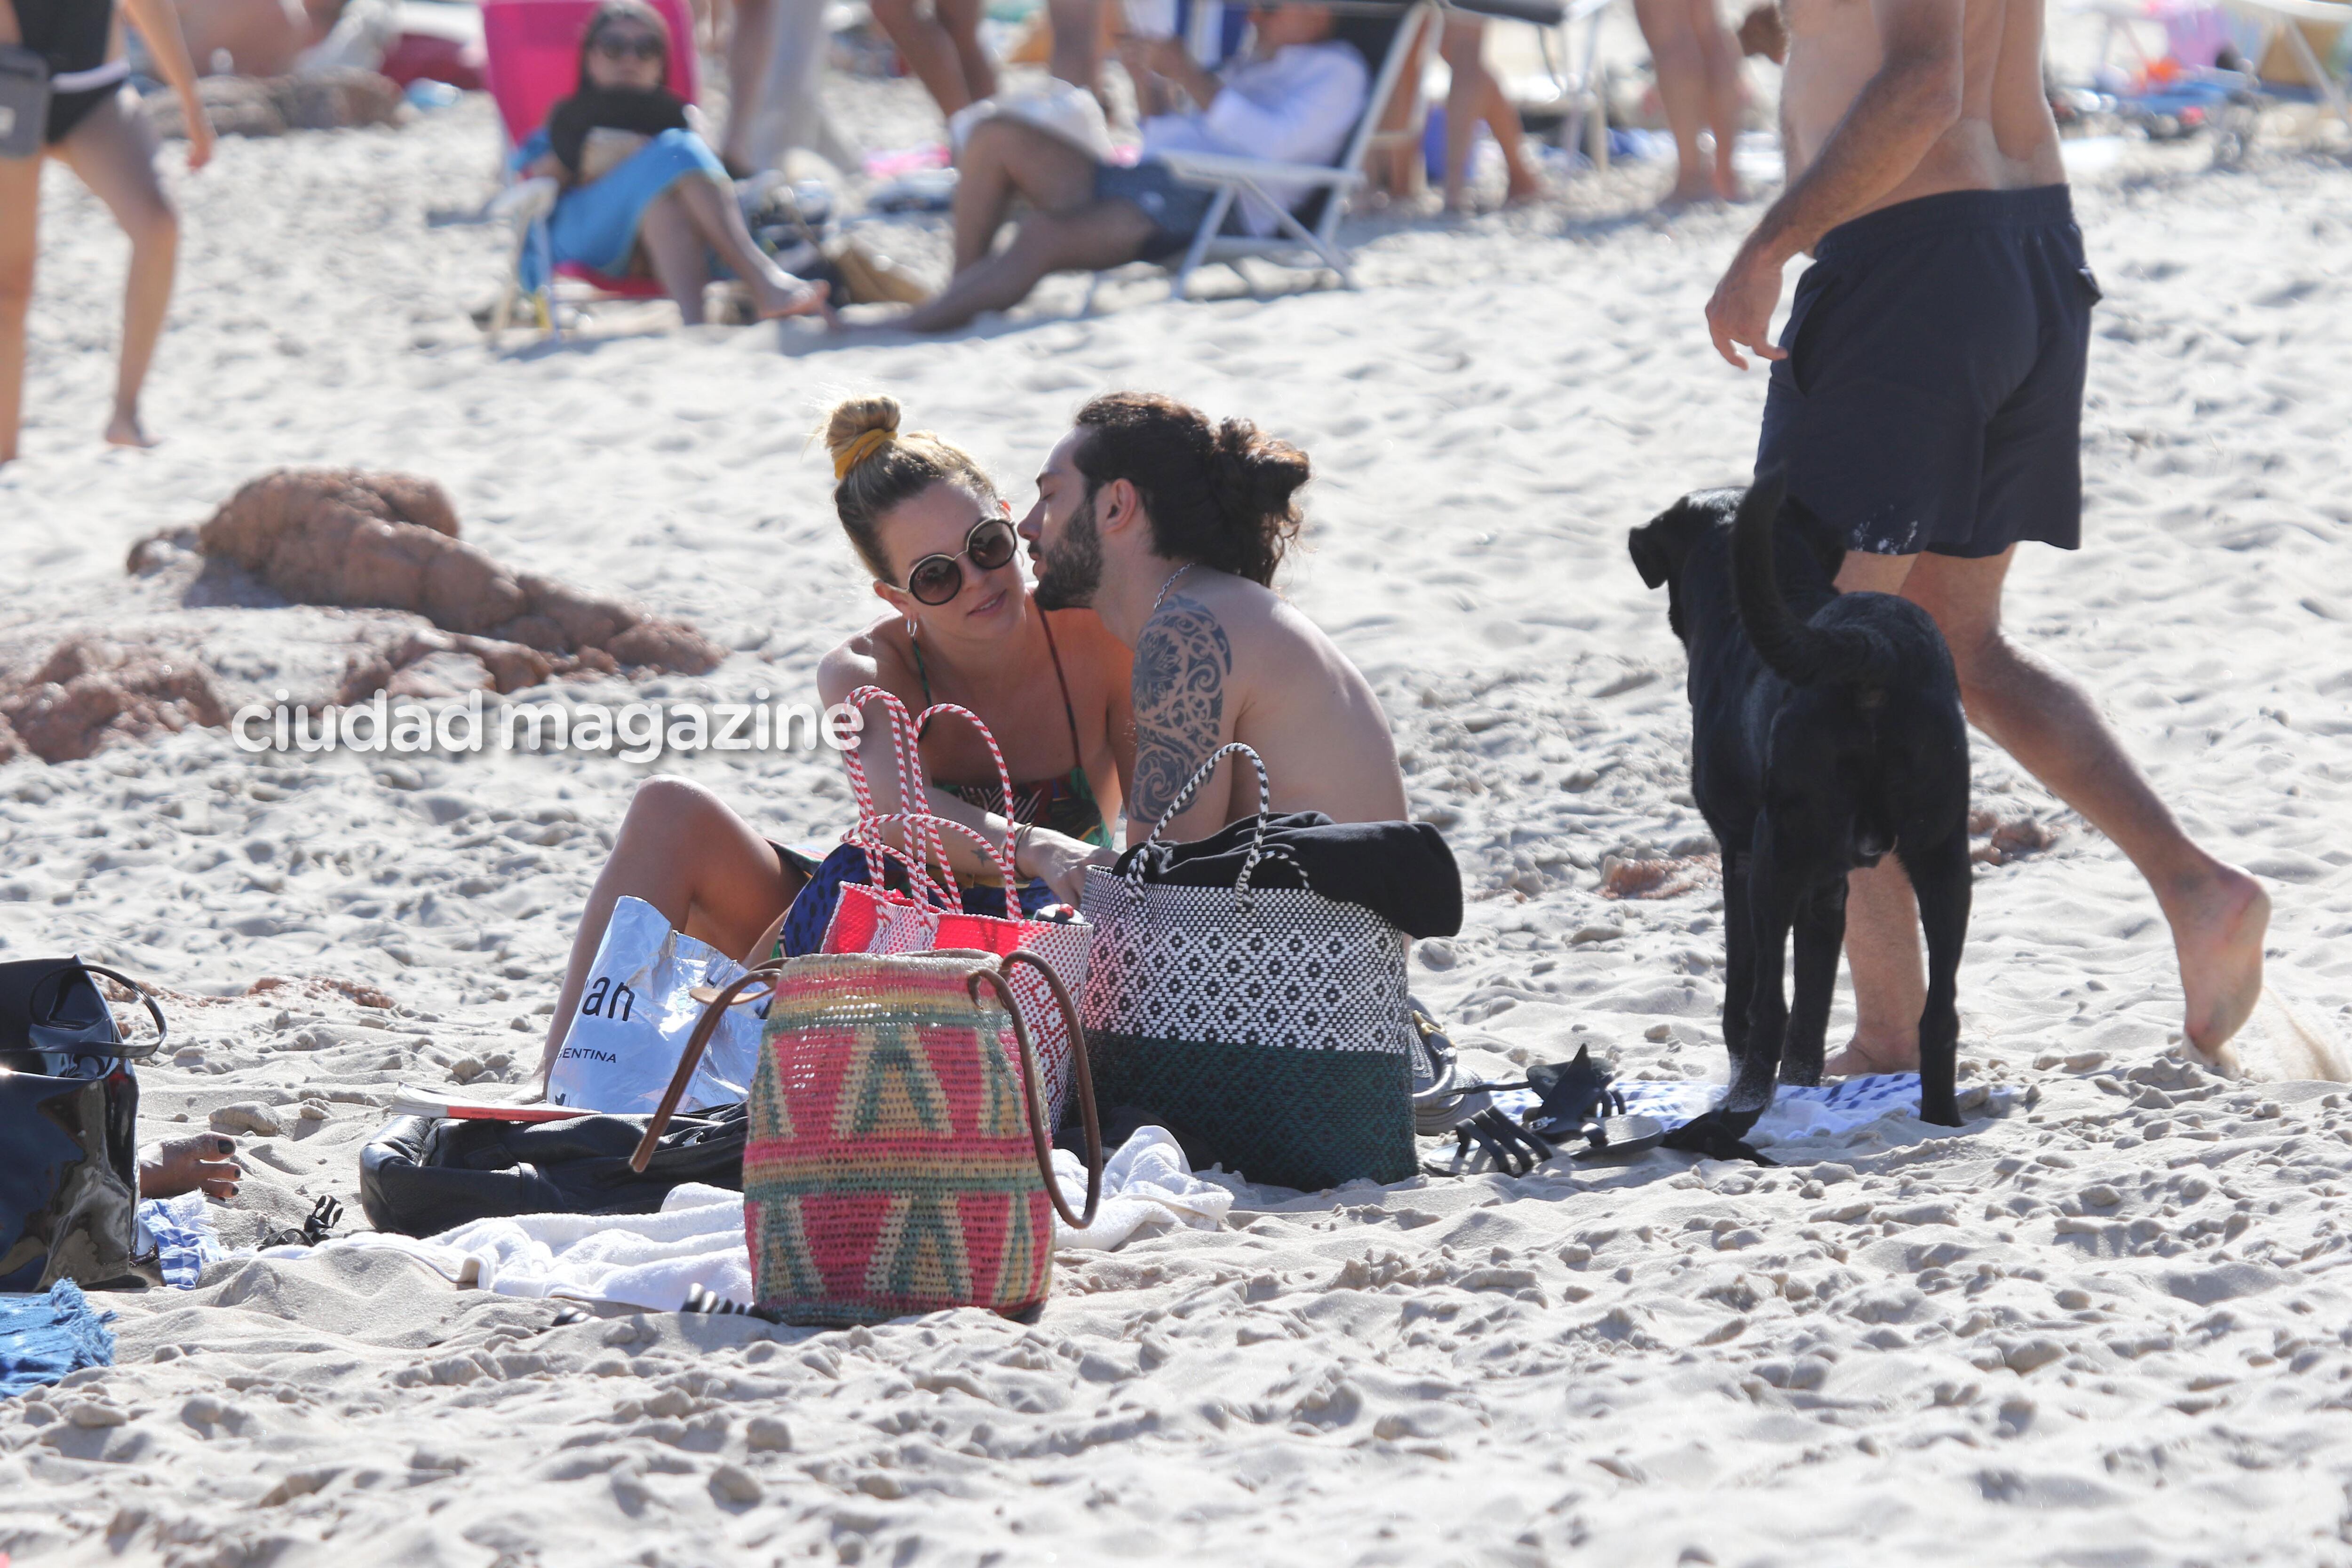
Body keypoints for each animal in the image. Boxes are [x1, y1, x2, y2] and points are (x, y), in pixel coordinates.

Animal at [1628, 472, 1976, 1133]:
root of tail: (1870, 649)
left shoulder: (1740, 856)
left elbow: (1747, 997)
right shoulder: (1828, 885)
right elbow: (1813, 1004)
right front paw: (1801, 1087)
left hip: (1777, 855)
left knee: (1767, 1005)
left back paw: (1735, 1115)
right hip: (1943, 854)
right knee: (1939, 1013)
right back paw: (1939, 1120)